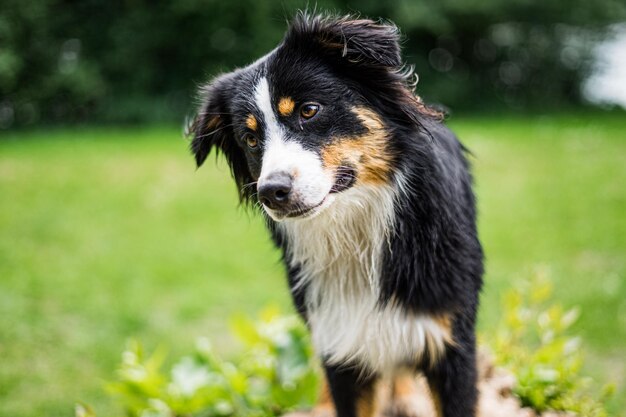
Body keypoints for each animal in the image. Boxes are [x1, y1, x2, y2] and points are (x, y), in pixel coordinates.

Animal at [189, 12, 482, 416]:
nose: (271, 192)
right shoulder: (340, 343)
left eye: (308, 110)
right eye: (250, 139)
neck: (353, 225)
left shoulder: (450, 339)